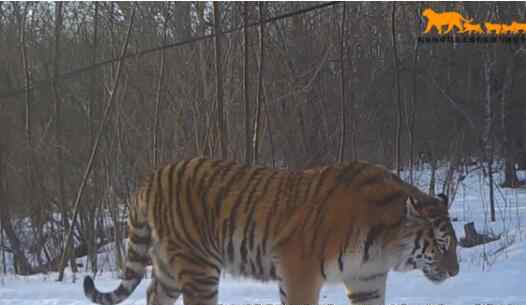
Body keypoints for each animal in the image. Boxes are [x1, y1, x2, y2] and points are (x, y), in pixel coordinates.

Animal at [84, 157, 460, 304]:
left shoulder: (366, 279)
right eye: (442, 244)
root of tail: (152, 176)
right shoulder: (299, 272)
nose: (455, 272)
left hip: (168, 266)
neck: (384, 245)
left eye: (454, 245)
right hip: (199, 268)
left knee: (152, 293)